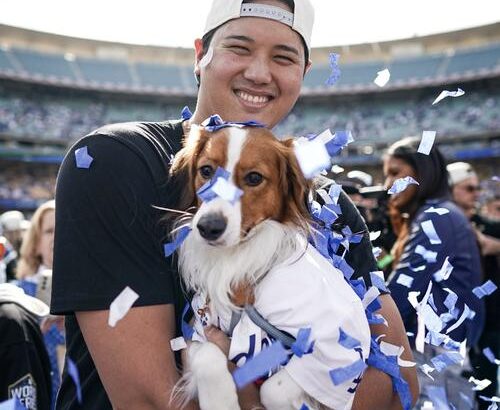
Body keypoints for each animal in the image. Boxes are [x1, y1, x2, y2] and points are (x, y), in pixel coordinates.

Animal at [170, 125, 370, 410]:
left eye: (254, 178)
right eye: (206, 171)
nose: (208, 227)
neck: (239, 260)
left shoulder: (342, 345)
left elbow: (274, 389)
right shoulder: (198, 328)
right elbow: (207, 355)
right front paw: (221, 401)